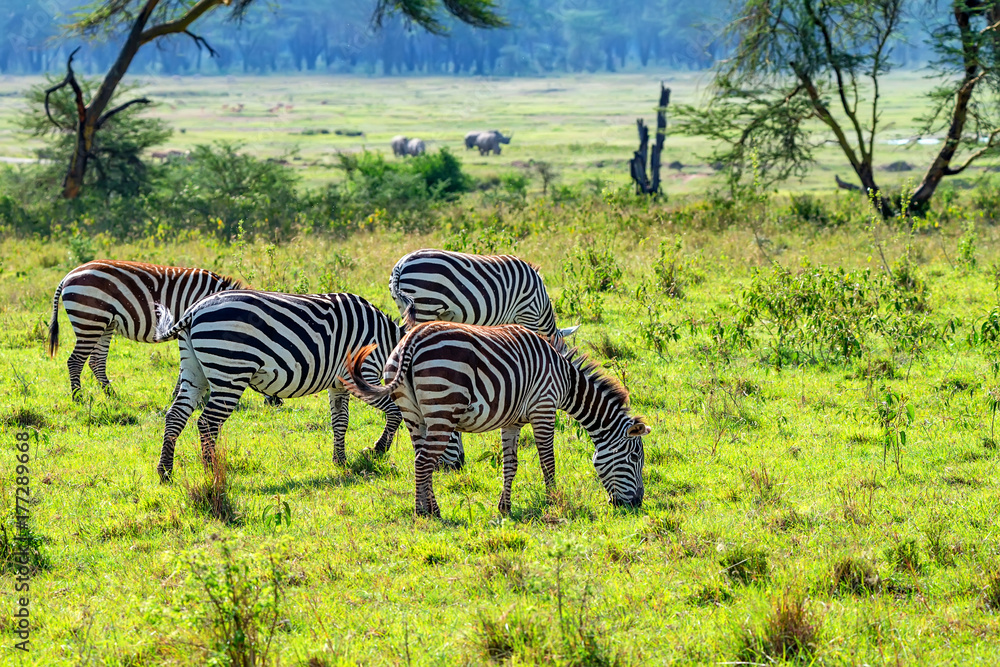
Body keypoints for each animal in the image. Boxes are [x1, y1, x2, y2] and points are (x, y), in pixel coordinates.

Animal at [47, 260, 243, 399]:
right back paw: (78, 398)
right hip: (90, 320)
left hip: (104, 324)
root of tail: (69, 274)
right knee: (75, 361)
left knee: (96, 361)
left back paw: (112, 396)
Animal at [152, 290, 464, 481]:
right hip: (230, 370)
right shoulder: (362, 374)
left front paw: (340, 460)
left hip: (194, 370)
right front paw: (377, 450)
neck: (385, 343)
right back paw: (211, 470)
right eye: (453, 432)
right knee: (207, 423)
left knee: (176, 416)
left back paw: (165, 471)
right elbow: (395, 412)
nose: (460, 466)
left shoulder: (339, 383)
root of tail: (194, 310)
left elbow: (341, 421)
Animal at [341, 321, 649, 517]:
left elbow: (510, 465)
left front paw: (505, 507)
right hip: (442, 406)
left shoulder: (512, 421)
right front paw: (554, 501)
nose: (636, 504)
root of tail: (412, 339)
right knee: (424, 461)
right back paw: (425, 513)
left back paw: (431, 508)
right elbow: (548, 462)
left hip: (413, 413)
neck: (564, 380)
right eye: (635, 458)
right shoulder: (544, 408)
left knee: (420, 457)